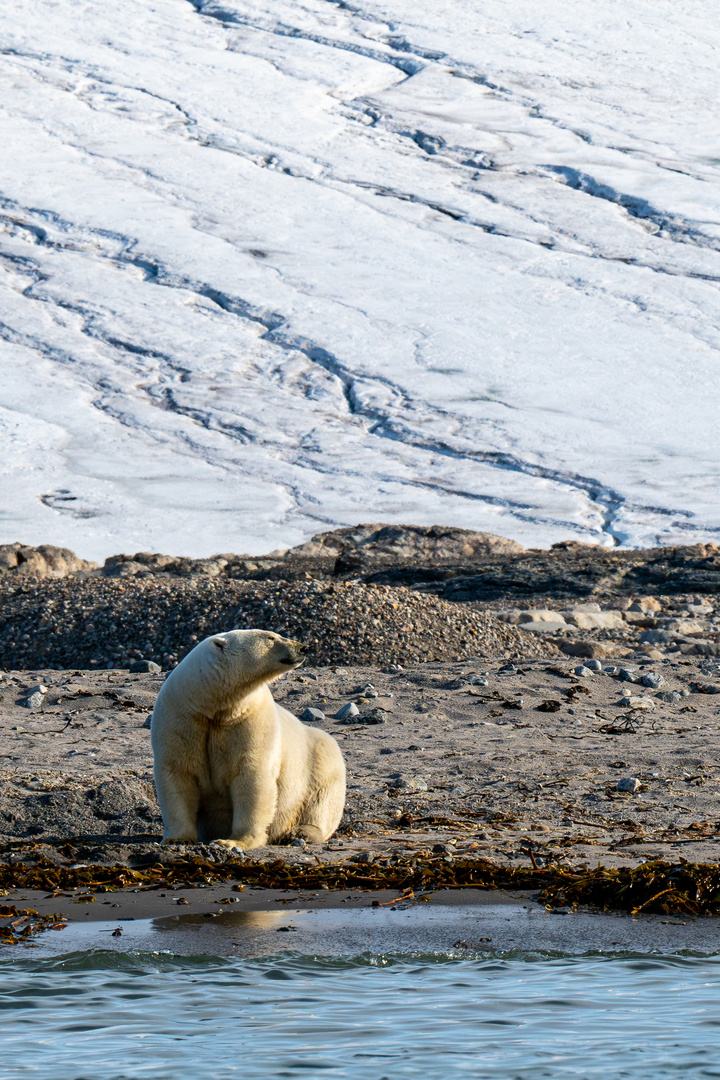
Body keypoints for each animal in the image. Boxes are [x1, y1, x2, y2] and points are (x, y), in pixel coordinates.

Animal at [148, 630, 345, 846]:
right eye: (270, 638)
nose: (303, 647)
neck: (212, 707)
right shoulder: (180, 720)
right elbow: (177, 776)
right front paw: (178, 839)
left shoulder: (251, 721)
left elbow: (252, 777)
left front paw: (233, 842)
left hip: (320, 757)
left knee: (321, 797)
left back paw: (301, 832)